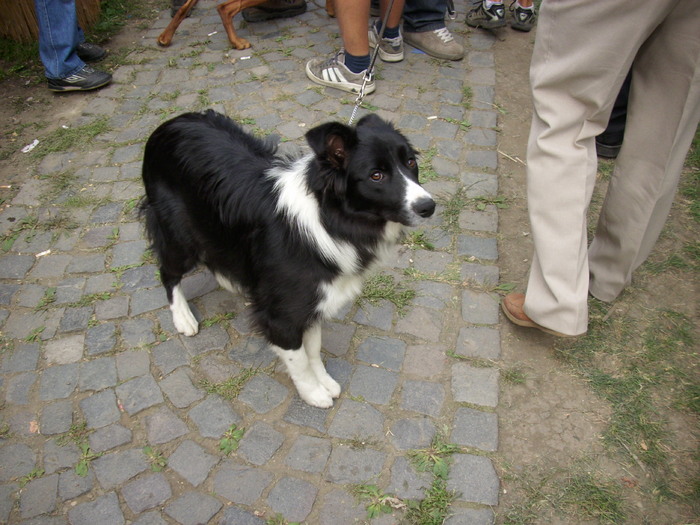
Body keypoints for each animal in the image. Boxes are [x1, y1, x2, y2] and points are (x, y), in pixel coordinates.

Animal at [140, 109, 434, 406]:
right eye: (376, 175)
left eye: (410, 162)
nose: (428, 207)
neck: (331, 219)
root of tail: (169, 125)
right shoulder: (281, 314)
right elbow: (299, 359)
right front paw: (313, 393)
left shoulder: (312, 301)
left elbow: (313, 348)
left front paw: (324, 381)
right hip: (180, 236)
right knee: (168, 272)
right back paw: (183, 317)